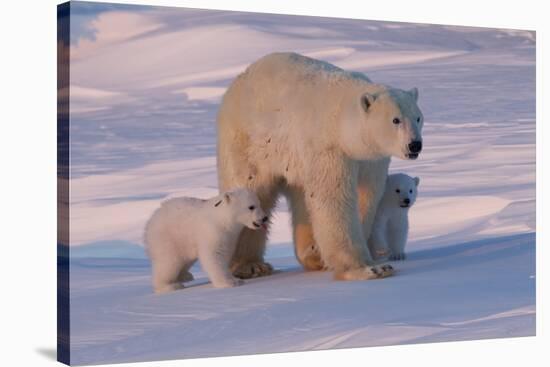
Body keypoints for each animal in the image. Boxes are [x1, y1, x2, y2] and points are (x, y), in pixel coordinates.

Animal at [218, 52, 424, 282]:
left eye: (418, 117)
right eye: (395, 120)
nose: (415, 144)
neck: (342, 122)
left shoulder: (371, 159)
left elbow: (366, 196)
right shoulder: (328, 148)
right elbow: (334, 198)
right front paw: (369, 269)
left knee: (302, 199)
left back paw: (313, 254)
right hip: (250, 143)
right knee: (252, 189)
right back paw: (250, 266)